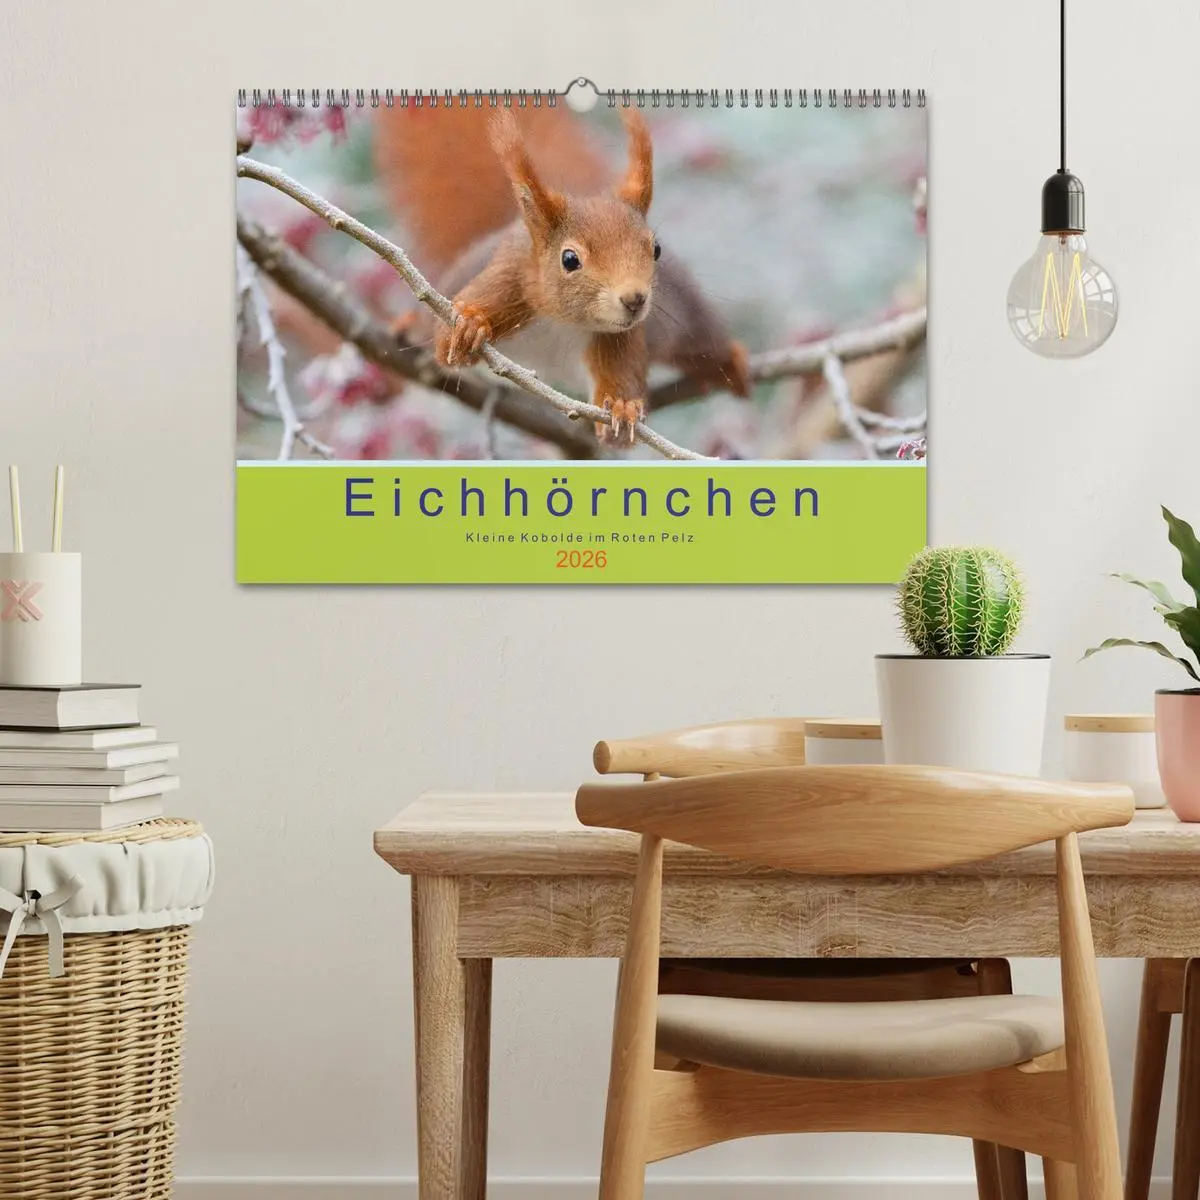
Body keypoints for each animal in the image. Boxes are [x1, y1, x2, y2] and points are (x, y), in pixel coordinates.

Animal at [373, 105, 751, 446]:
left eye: (655, 249)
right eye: (569, 259)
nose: (634, 299)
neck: (563, 320)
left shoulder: (619, 337)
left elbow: (622, 384)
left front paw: (624, 407)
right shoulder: (509, 284)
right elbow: (447, 340)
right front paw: (469, 324)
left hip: (681, 317)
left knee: (704, 339)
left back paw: (731, 363)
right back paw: (407, 323)